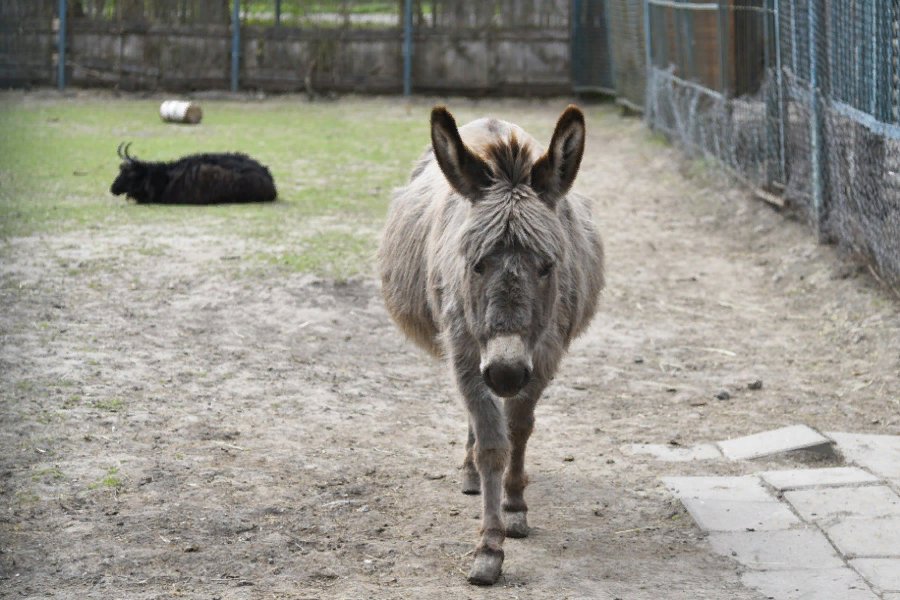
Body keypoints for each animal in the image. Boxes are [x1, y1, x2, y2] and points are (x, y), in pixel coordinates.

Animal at [378, 105, 605, 585]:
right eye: (475, 264)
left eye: (547, 266)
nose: (504, 372)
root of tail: (492, 120)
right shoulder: (465, 347)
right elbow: (491, 445)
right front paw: (488, 547)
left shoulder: (544, 353)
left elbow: (518, 429)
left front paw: (514, 507)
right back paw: (470, 474)